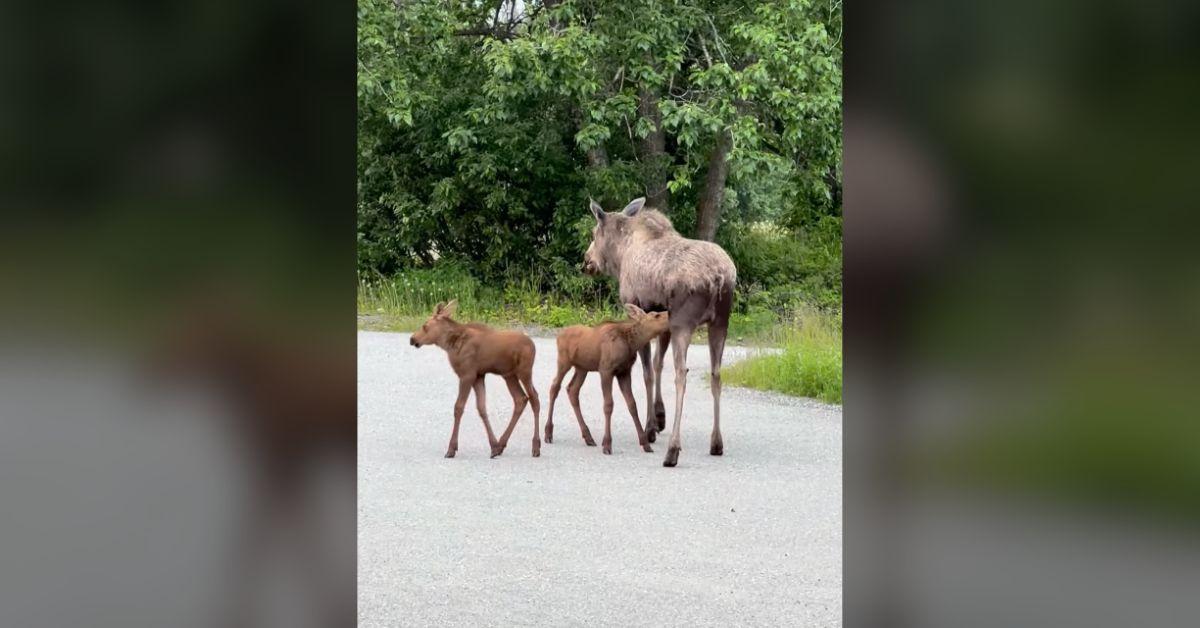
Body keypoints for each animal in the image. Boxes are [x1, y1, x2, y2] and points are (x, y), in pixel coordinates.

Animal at [409, 300, 542, 458]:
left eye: (425, 326)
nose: (412, 339)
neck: (450, 346)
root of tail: (534, 346)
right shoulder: (478, 375)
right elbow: (481, 408)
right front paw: (493, 445)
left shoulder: (467, 375)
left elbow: (459, 407)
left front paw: (451, 448)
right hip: (509, 375)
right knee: (521, 399)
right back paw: (501, 444)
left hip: (524, 371)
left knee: (534, 398)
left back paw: (536, 446)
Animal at [544, 304, 671, 455]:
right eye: (656, 315)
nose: (670, 314)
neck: (631, 344)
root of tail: (558, 336)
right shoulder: (606, 370)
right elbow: (608, 405)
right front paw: (607, 444)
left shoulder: (624, 372)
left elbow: (632, 405)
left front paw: (645, 443)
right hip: (564, 362)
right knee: (554, 387)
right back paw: (548, 433)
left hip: (582, 368)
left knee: (572, 390)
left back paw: (588, 437)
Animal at [583, 197, 737, 467]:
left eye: (594, 233)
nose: (586, 260)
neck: (621, 255)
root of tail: (719, 278)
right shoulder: (661, 319)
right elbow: (657, 363)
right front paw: (659, 416)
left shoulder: (640, 310)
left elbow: (647, 372)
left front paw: (650, 428)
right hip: (720, 322)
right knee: (716, 374)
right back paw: (716, 443)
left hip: (683, 323)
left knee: (681, 374)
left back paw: (673, 450)